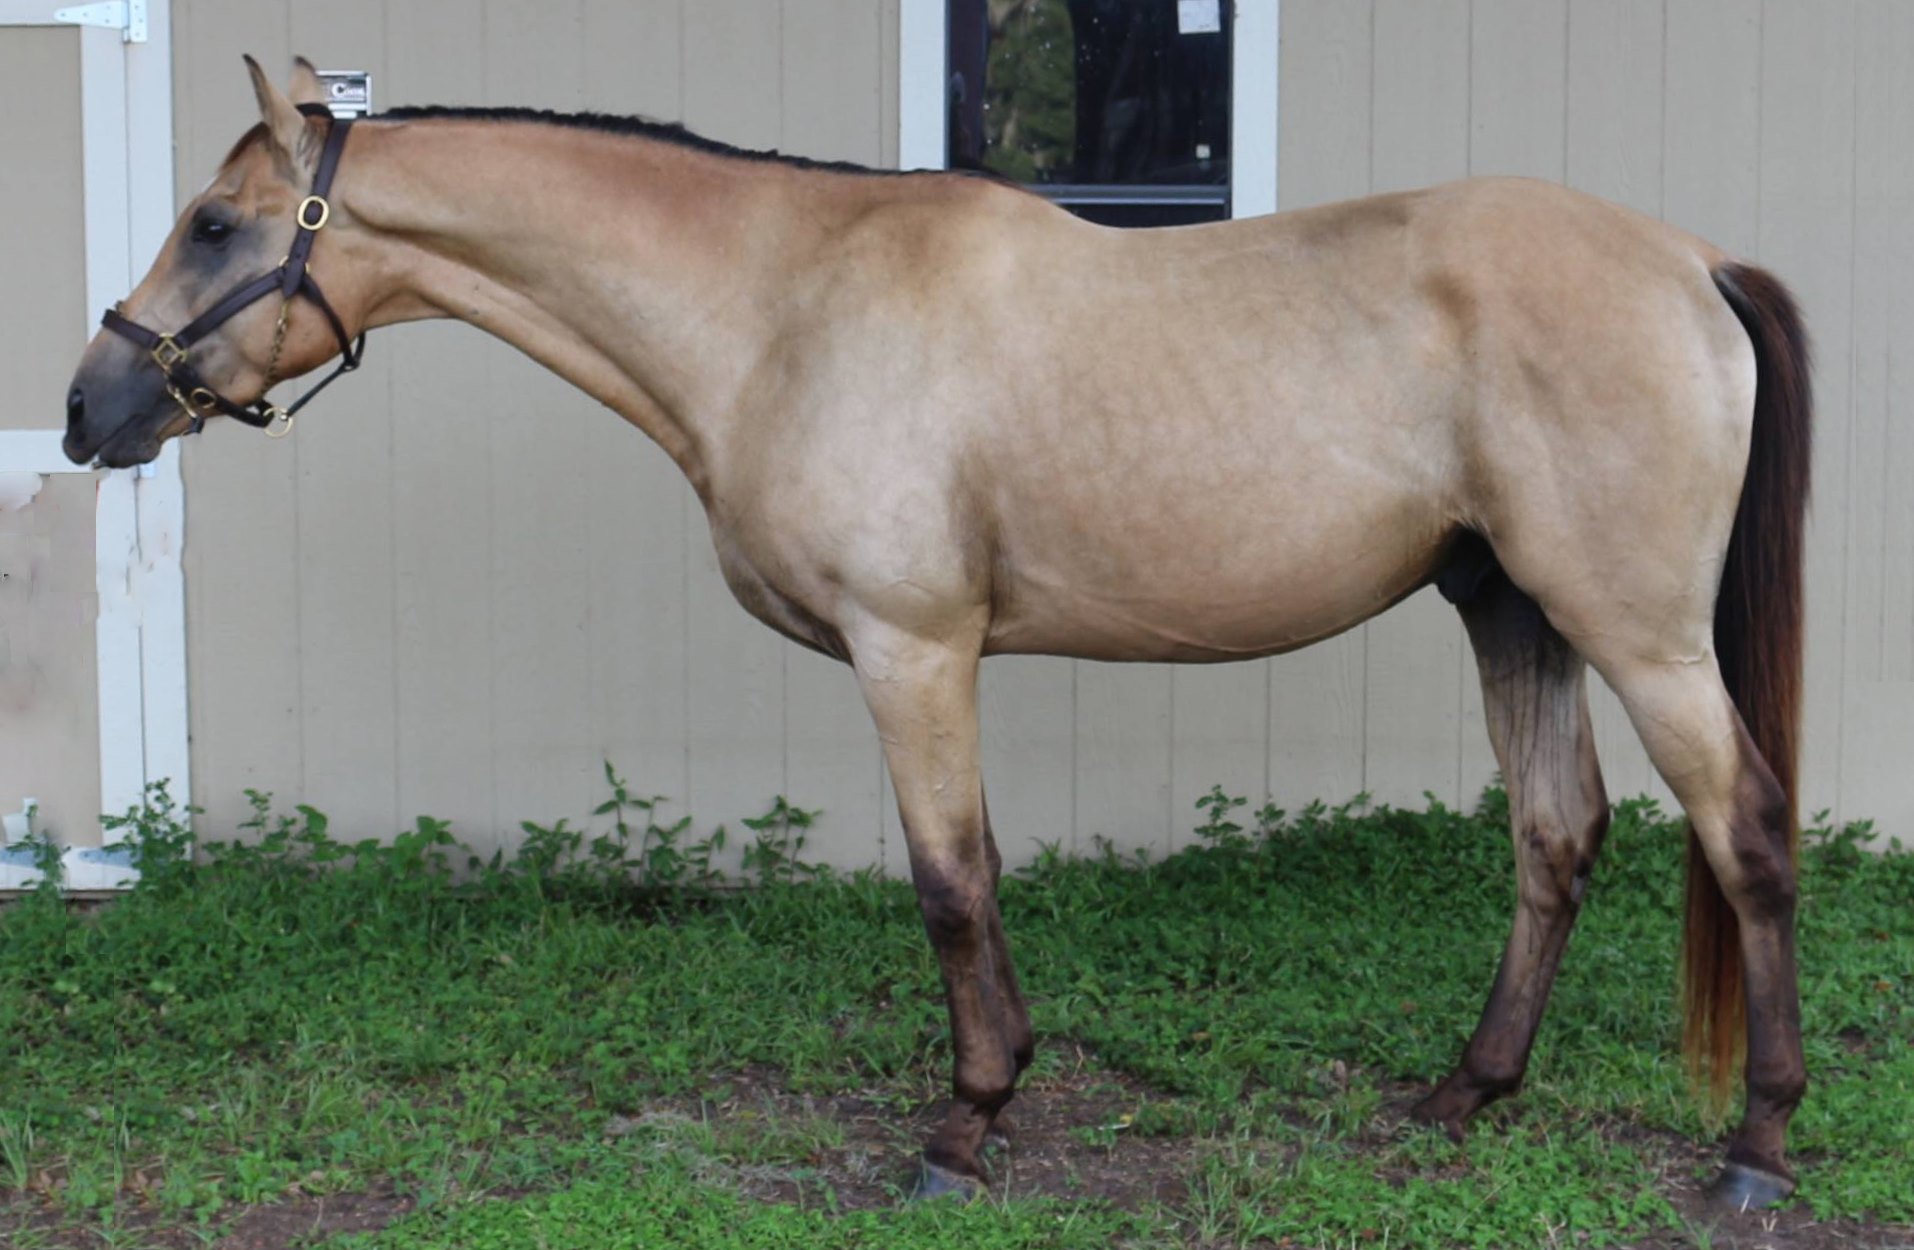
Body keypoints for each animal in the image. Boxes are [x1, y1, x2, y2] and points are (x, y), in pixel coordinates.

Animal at [67, 58, 1814, 1209]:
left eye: (215, 224)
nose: (91, 409)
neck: (782, 305)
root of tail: (1691, 260)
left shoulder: (911, 647)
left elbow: (949, 884)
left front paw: (963, 1127)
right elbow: (969, 874)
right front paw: (1002, 1083)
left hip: (1637, 632)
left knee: (1744, 833)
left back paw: (1755, 1149)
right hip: (1511, 606)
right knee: (1555, 833)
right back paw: (1466, 1091)